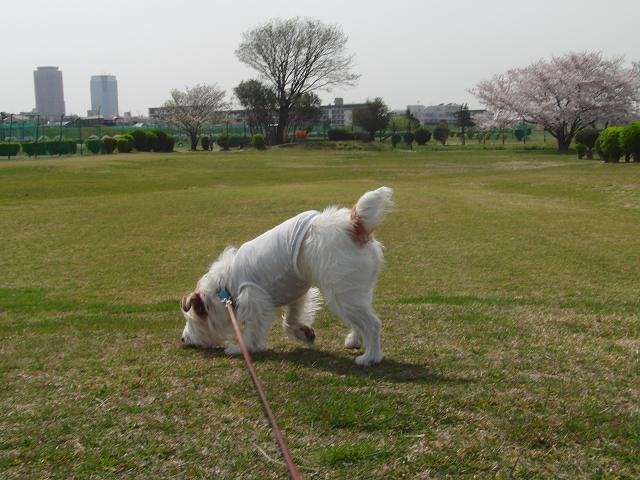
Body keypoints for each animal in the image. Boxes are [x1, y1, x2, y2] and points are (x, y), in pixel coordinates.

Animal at [179, 186, 390, 366]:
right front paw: (303, 332)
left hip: (341, 294)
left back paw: (371, 357)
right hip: (355, 291)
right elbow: (290, 321)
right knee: (360, 320)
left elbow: (253, 330)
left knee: (372, 324)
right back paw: (354, 339)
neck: (225, 286)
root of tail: (354, 223)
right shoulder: (297, 293)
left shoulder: (255, 301)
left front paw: (241, 348)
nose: (182, 339)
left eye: (191, 319)